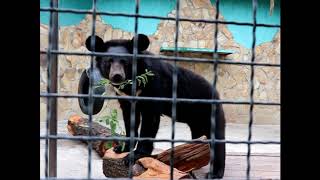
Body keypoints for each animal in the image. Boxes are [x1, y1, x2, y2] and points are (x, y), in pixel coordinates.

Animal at [84, 34, 225, 179]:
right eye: (109, 62)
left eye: (125, 62)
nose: (117, 76)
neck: (133, 83)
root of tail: (216, 93)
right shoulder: (125, 98)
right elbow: (130, 120)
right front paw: (121, 148)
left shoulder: (154, 87)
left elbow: (149, 122)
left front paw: (135, 155)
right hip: (196, 121)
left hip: (210, 111)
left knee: (218, 139)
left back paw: (214, 173)